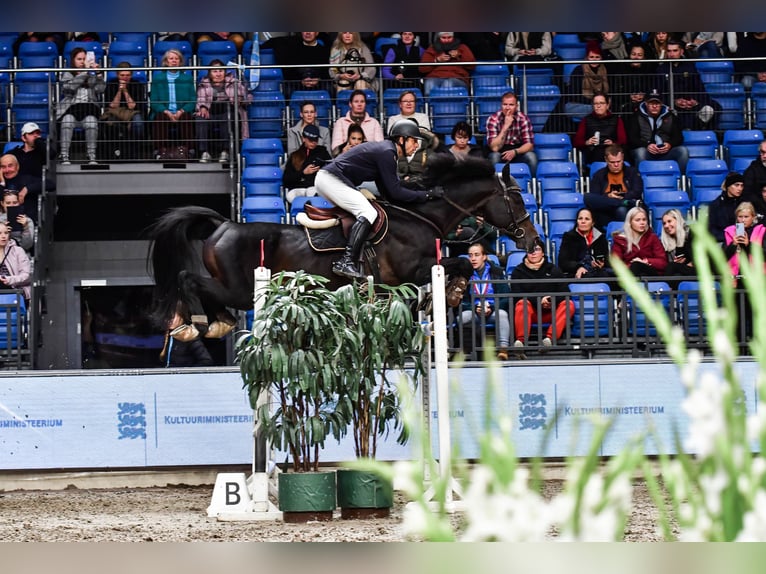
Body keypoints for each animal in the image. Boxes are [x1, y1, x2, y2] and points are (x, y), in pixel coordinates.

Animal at [146, 154, 540, 332]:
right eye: (517, 199)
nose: (533, 241)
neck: (421, 216)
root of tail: (223, 224)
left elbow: (453, 269)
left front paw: (449, 294)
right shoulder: (412, 270)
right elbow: (458, 263)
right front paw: (455, 291)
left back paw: (218, 323)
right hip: (242, 289)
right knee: (188, 280)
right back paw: (196, 323)